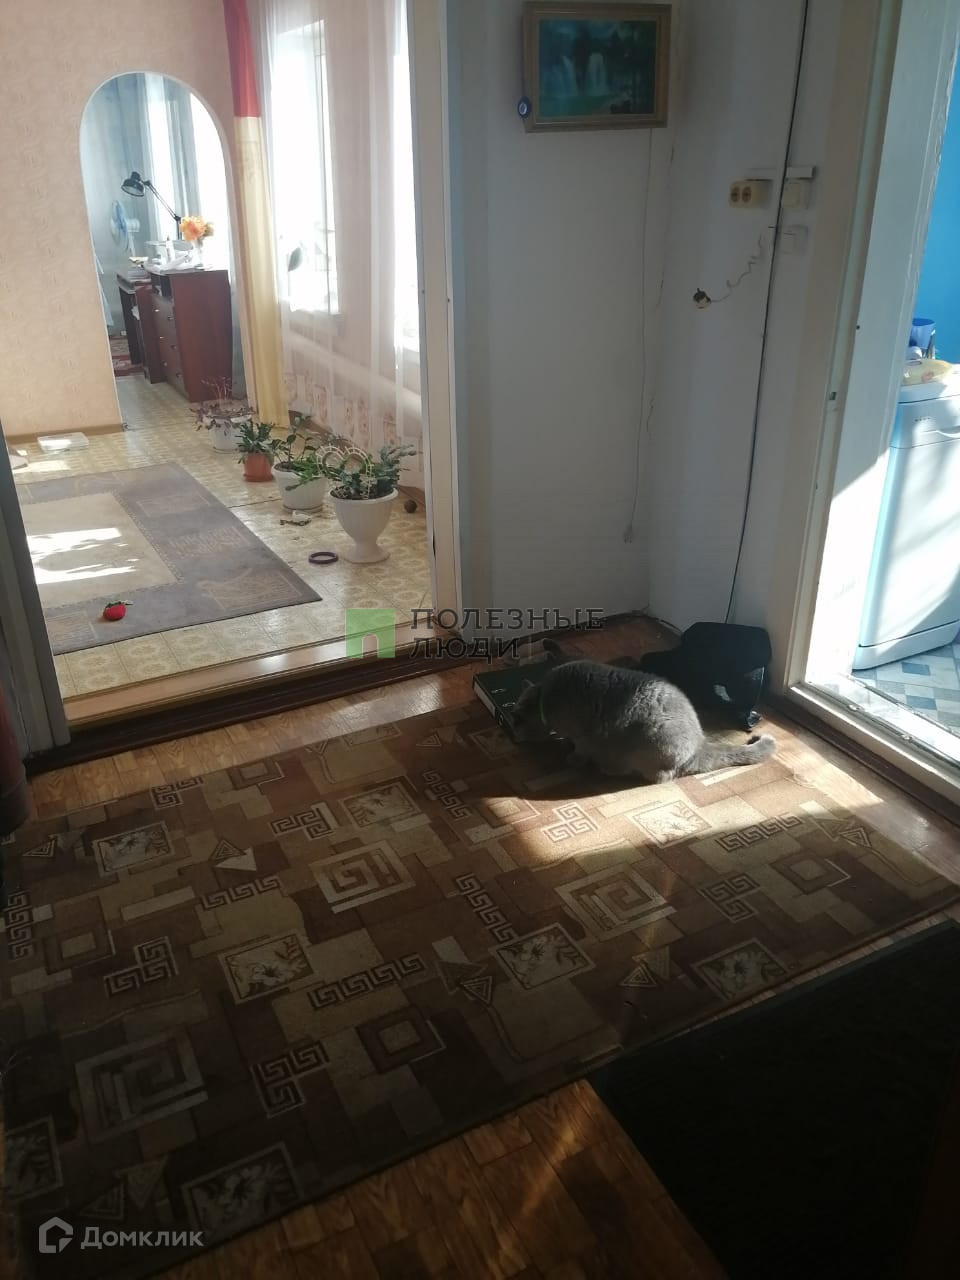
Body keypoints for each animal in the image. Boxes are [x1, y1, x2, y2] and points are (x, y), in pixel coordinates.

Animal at [510, 639, 775, 783]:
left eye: (516, 723)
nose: (514, 737)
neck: (545, 698)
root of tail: (699, 743)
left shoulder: (582, 735)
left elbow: (580, 749)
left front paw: (572, 758)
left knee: (661, 777)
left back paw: (612, 769)